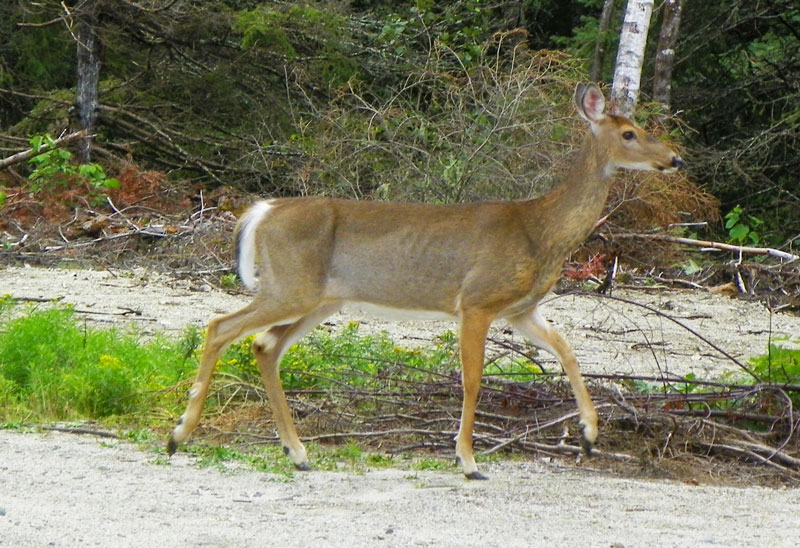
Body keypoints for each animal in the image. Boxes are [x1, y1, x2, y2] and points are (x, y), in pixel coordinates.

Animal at [167, 82, 680, 480]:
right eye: (630, 133)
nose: (674, 159)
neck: (540, 231)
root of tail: (262, 211)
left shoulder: (521, 308)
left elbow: (568, 352)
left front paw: (590, 435)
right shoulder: (476, 300)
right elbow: (473, 380)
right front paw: (468, 461)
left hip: (320, 299)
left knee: (264, 346)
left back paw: (297, 452)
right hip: (291, 286)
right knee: (220, 327)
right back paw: (179, 435)